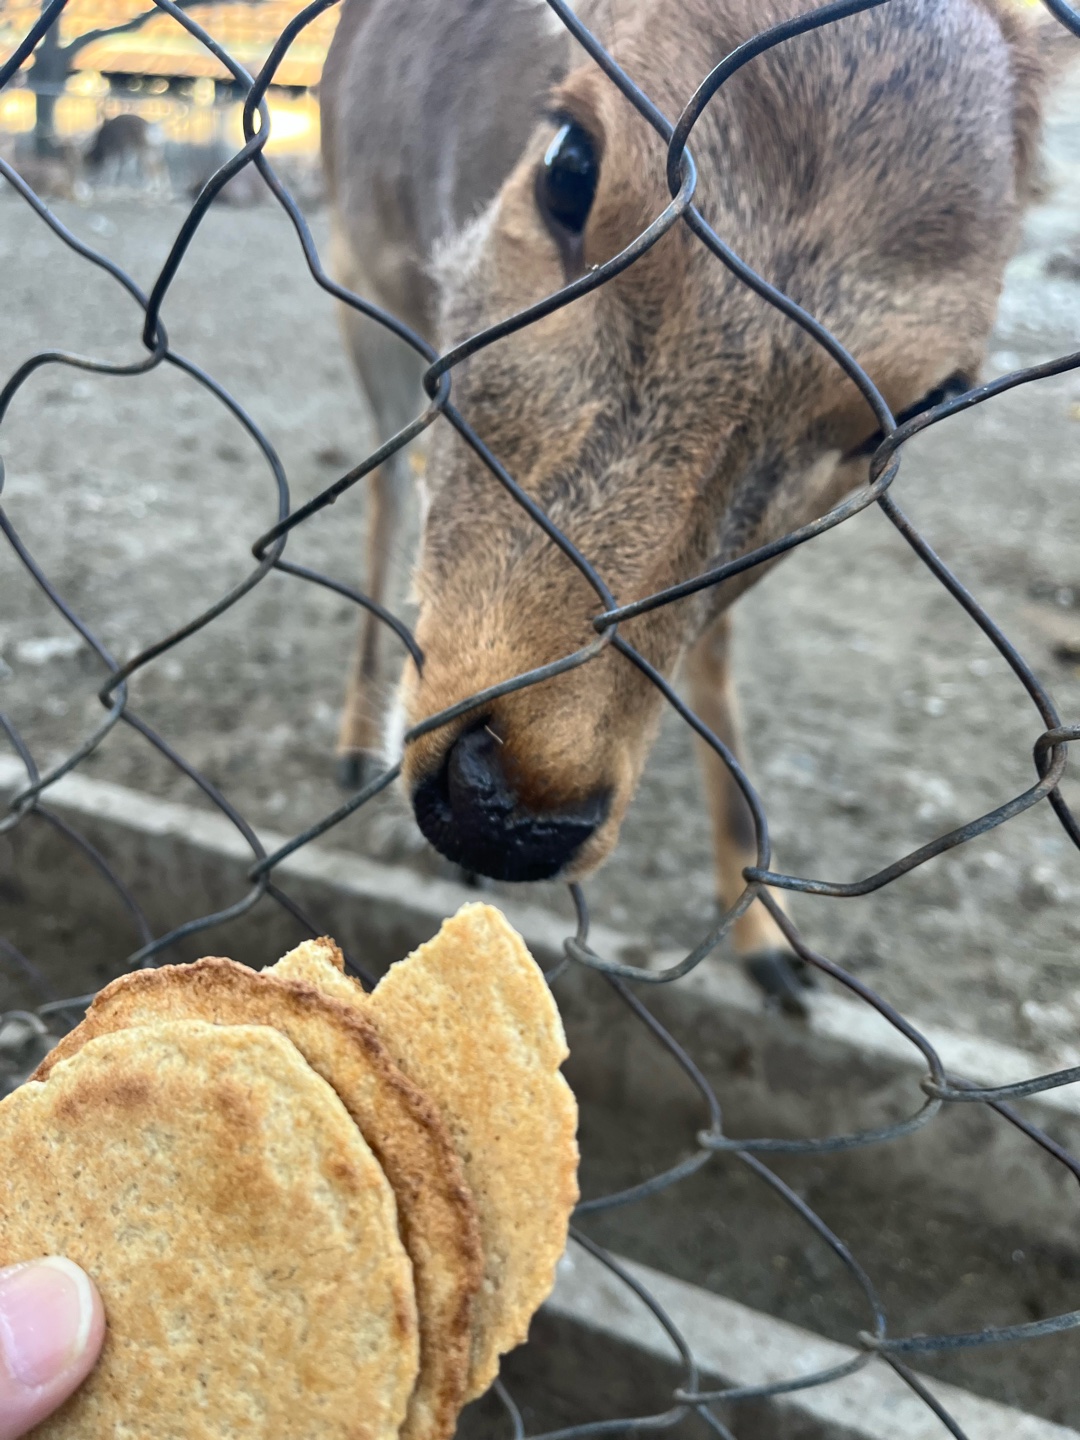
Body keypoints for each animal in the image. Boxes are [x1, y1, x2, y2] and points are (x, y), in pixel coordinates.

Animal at [318, 0, 1070, 1009]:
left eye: (928, 399)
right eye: (570, 165)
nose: (507, 812)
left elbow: (710, 648)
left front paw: (762, 939)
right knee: (383, 486)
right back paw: (352, 738)